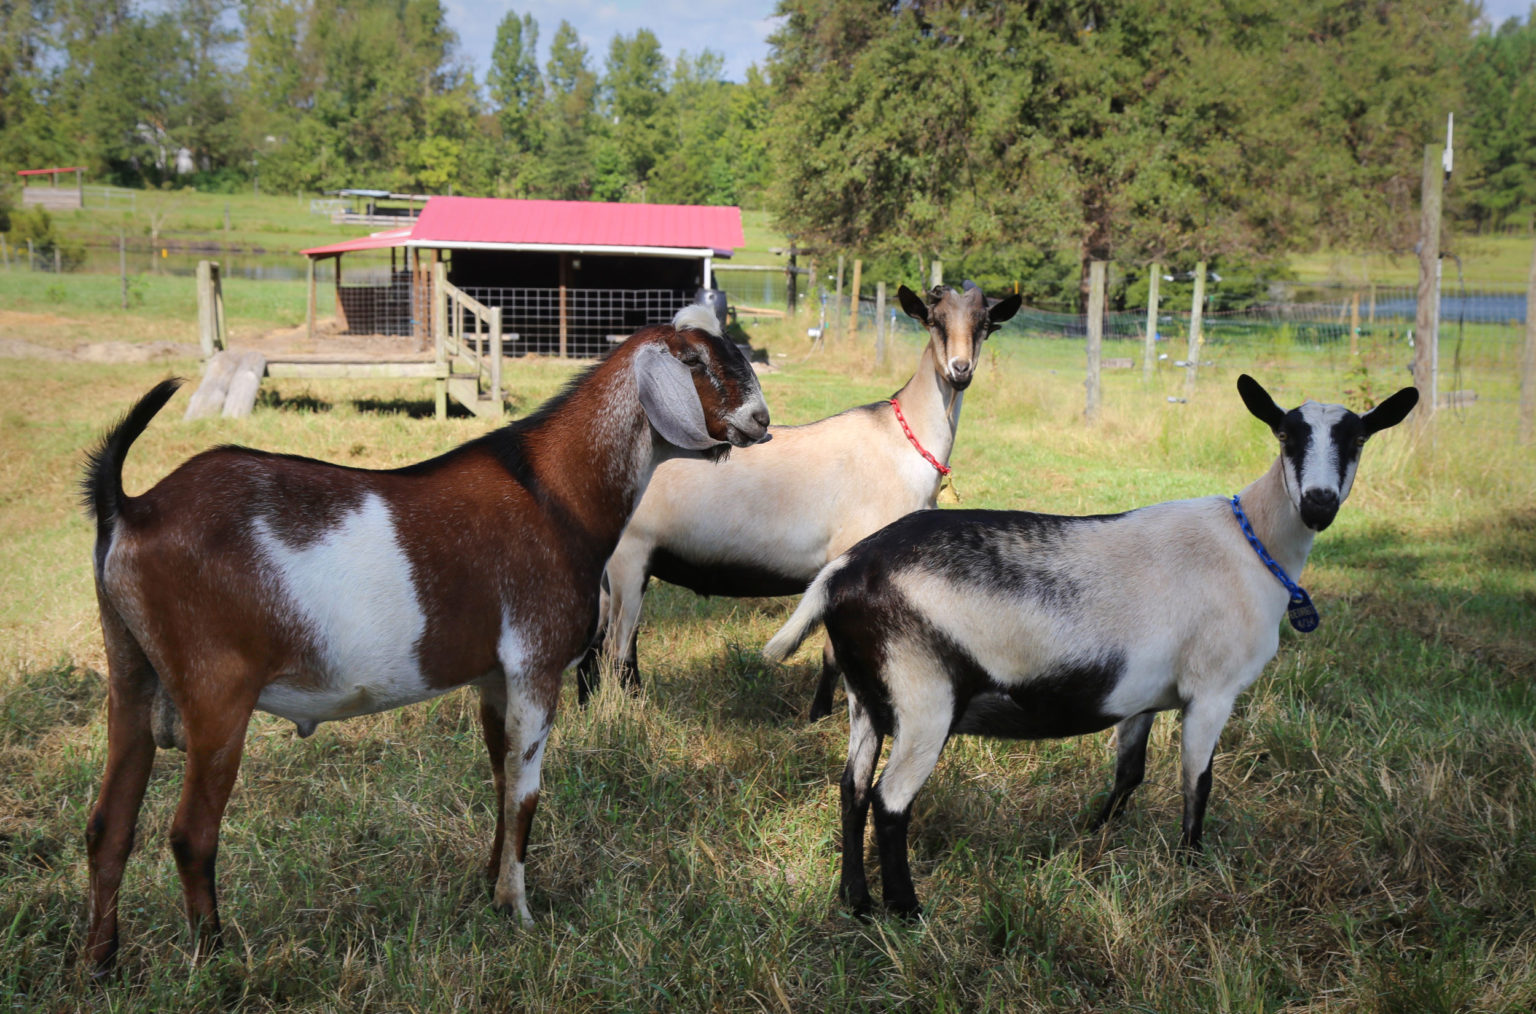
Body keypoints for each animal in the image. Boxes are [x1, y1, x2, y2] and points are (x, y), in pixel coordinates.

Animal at [80, 306, 768, 975]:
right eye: (696, 361)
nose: (761, 420)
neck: (554, 494)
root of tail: (131, 508)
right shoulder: (536, 663)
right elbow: (526, 794)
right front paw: (518, 909)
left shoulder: (495, 677)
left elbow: (500, 781)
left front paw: (491, 889)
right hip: (216, 694)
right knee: (191, 833)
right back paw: (216, 963)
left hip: (131, 673)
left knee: (109, 824)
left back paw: (103, 963)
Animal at [574, 283, 1021, 709]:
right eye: (935, 321)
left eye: (986, 325)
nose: (960, 370)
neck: (904, 443)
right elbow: (835, 655)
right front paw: (819, 714)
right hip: (630, 554)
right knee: (617, 645)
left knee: (595, 643)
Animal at [762, 375, 1418, 917]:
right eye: (1286, 434)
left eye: (1358, 438)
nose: (1319, 502)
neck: (1252, 542)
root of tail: (844, 571)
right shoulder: (1212, 690)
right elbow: (1196, 780)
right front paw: (1190, 865)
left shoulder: (1144, 695)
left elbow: (1130, 771)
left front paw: (1093, 833)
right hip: (923, 696)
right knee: (889, 801)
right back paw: (907, 910)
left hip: (867, 696)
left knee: (851, 790)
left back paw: (856, 901)